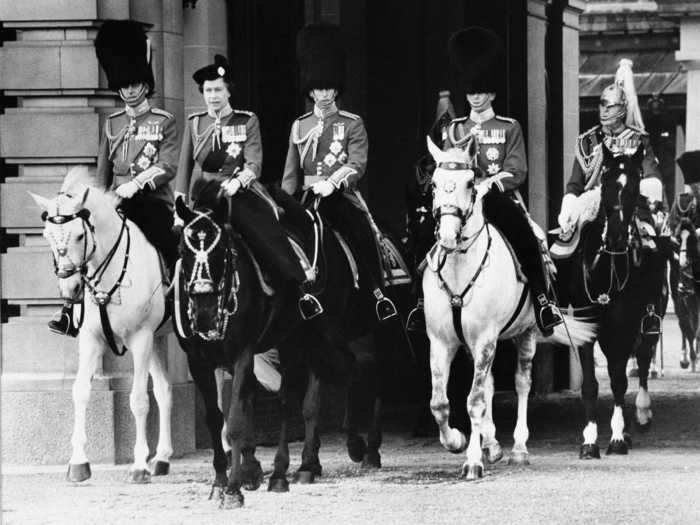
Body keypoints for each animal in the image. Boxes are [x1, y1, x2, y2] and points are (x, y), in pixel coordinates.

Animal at [31, 169, 175, 484]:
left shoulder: (140, 339)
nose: (69, 289)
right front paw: (78, 463)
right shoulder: (91, 339)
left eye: (79, 234)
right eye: (46, 235)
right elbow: (80, 392)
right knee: (165, 391)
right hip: (158, 339)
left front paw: (138, 465)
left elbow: (138, 400)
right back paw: (162, 458)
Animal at [422, 138, 596, 478]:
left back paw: (518, 448)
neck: (460, 267)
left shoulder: (485, 340)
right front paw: (457, 441)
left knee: (521, 383)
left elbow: (474, 401)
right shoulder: (442, 342)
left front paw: (472, 461)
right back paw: (492, 444)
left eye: (469, 183)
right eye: (434, 183)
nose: (447, 236)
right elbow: (439, 403)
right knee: (489, 386)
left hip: (525, 333)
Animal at [556, 144, 668, 458]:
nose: (616, 237)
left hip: (650, 316)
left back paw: (641, 414)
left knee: (642, 359)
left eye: (634, 187)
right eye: (604, 185)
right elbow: (590, 385)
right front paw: (590, 440)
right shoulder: (587, 323)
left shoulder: (625, 323)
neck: (605, 267)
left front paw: (617, 437)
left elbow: (619, 379)